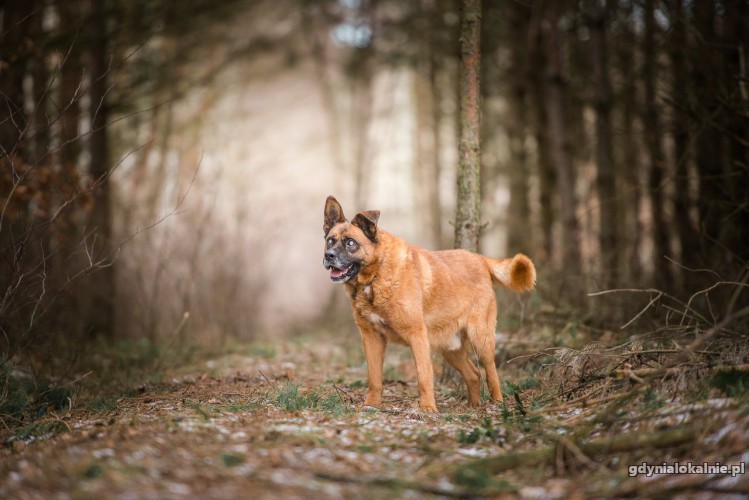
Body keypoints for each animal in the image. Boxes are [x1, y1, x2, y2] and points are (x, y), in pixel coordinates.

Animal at [324, 197, 536, 412]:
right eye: (330, 241)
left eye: (351, 243)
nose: (328, 256)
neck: (377, 274)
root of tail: (480, 259)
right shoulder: (371, 337)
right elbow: (374, 378)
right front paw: (371, 405)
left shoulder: (417, 335)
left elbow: (424, 376)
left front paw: (427, 408)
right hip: (451, 349)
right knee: (474, 374)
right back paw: (472, 406)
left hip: (481, 339)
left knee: (491, 372)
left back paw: (497, 404)